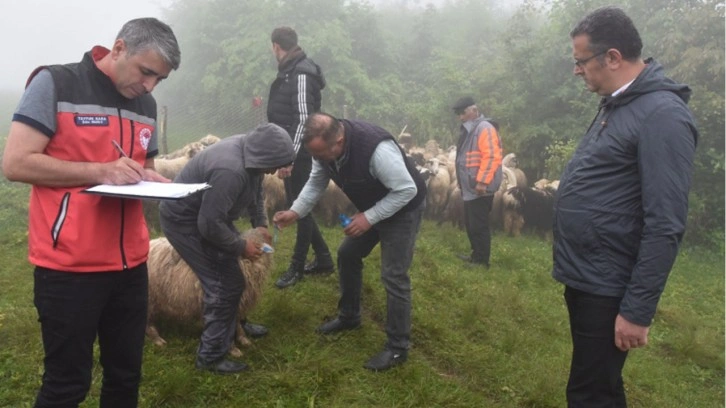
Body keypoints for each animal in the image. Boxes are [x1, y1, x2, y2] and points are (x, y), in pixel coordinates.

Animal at [146, 230, 274, 356]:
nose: (271, 236)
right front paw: (232, 349)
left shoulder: (237, 304)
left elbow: (237, 324)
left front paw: (244, 340)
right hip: (150, 300)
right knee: (148, 323)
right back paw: (158, 340)